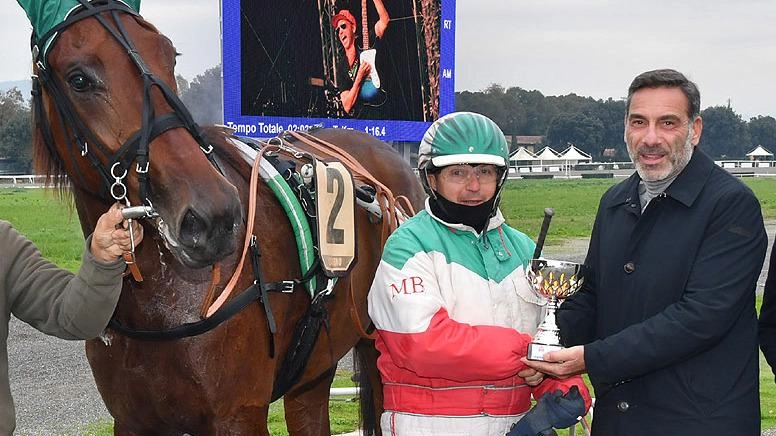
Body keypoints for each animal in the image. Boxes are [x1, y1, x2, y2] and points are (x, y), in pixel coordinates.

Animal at [22, 1, 424, 434]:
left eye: (169, 55)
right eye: (78, 78)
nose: (212, 215)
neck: (159, 303)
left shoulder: (239, 415)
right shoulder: (132, 420)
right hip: (314, 370)